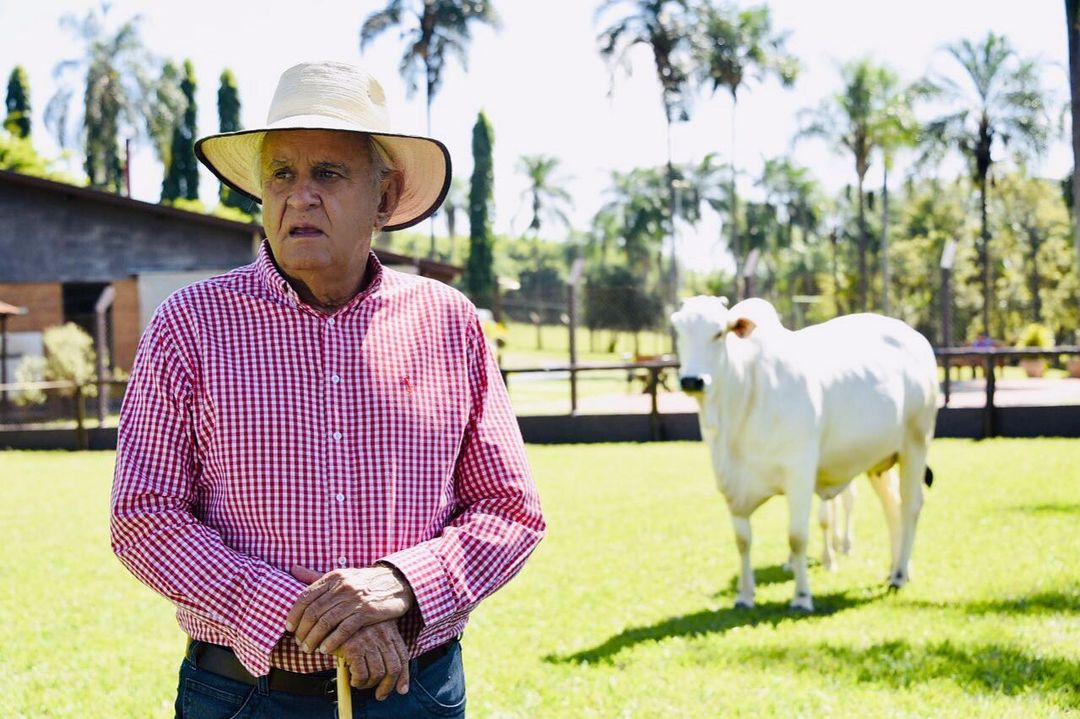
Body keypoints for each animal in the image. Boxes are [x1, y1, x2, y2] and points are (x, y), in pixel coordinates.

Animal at [673, 293, 937, 608]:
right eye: (679, 332)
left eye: (719, 333)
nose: (692, 380)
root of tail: (914, 337)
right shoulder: (732, 486)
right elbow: (743, 541)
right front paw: (745, 595)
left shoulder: (799, 473)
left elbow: (797, 537)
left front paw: (801, 596)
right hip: (880, 462)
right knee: (892, 507)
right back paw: (897, 569)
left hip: (916, 442)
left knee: (910, 506)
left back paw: (898, 576)